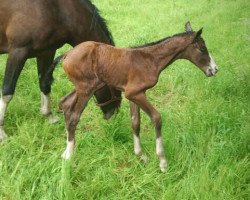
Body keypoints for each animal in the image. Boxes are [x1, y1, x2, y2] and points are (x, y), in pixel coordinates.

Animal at [0, 0, 121, 141]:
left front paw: (49, 116)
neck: (58, 10)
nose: (113, 113)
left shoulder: (46, 51)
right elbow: (7, 91)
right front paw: (1, 132)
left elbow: (45, 84)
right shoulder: (18, 52)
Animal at [50, 21, 217, 172]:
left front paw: (141, 156)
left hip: (88, 86)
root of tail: (66, 55)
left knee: (65, 104)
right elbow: (156, 118)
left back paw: (65, 152)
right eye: (202, 48)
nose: (214, 69)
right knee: (73, 116)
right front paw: (162, 162)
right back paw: (69, 156)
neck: (150, 59)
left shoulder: (135, 94)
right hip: (86, 88)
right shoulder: (134, 92)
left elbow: (135, 122)